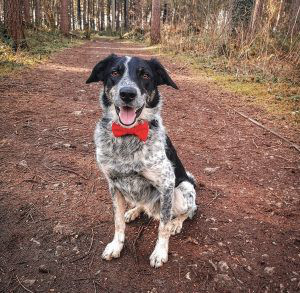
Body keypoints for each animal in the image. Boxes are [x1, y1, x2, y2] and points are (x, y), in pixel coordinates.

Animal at [86, 53, 197, 266]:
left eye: (145, 75)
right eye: (114, 72)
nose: (127, 94)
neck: (128, 135)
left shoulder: (167, 184)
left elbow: (163, 226)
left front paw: (160, 252)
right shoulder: (113, 184)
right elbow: (118, 222)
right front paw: (116, 245)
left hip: (183, 190)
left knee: (189, 210)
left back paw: (176, 223)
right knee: (142, 205)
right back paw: (134, 211)